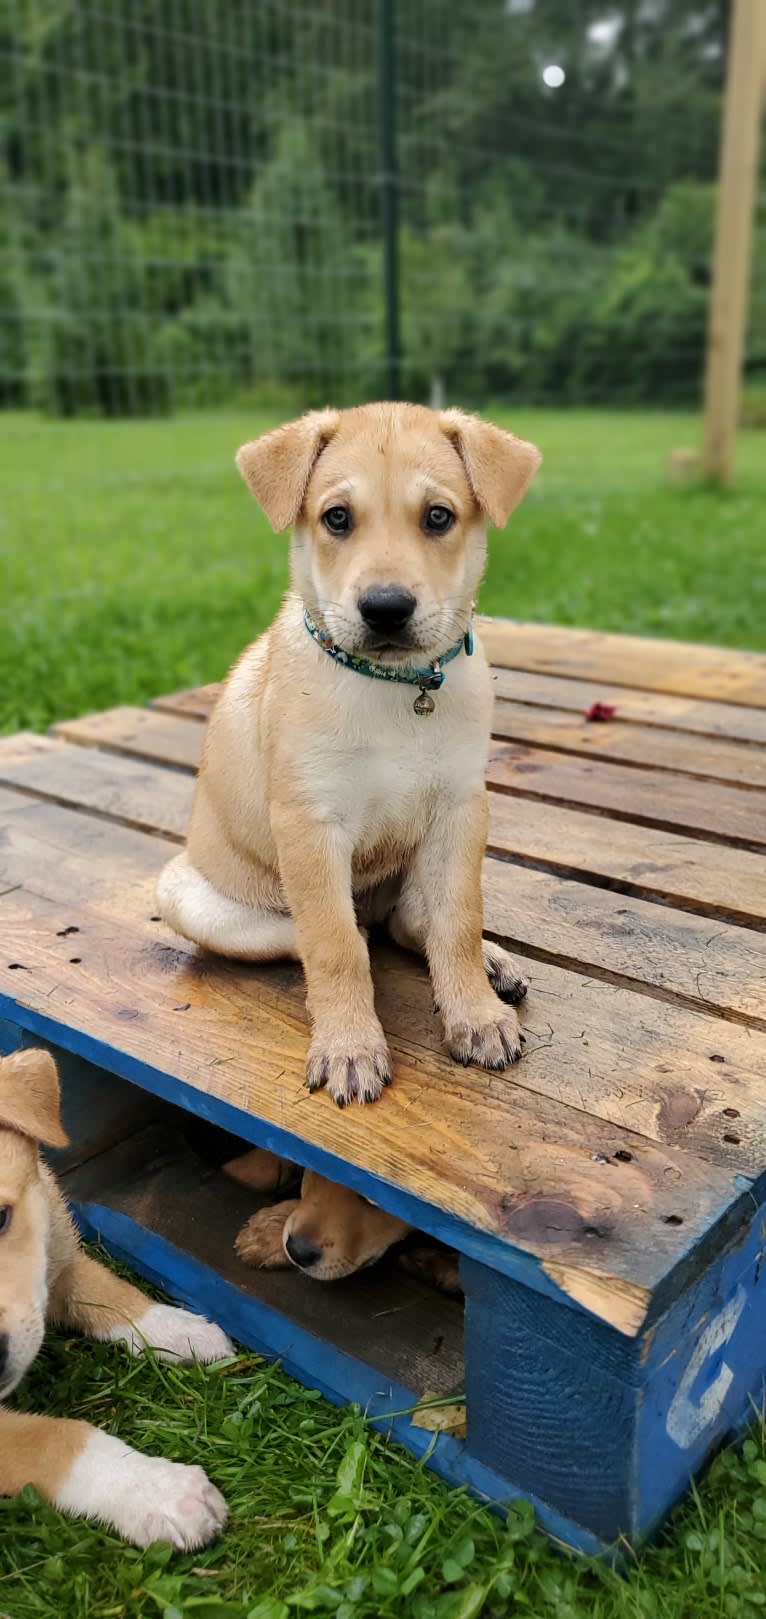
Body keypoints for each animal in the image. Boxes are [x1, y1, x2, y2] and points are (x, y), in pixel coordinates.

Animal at [0, 1042, 233, 1547]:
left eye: (0, 1217)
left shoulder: (52, 1245)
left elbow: (100, 1287)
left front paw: (181, 1331)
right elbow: (51, 1439)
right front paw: (160, 1492)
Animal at [157, 404, 537, 1113]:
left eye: (438, 517)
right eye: (337, 518)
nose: (386, 609)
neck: (393, 689)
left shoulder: (461, 809)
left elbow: (458, 920)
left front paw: (473, 1013)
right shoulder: (310, 824)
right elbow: (332, 944)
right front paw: (350, 1047)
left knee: (413, 922)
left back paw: (491, 962)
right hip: (186, 892)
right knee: (342, 934)